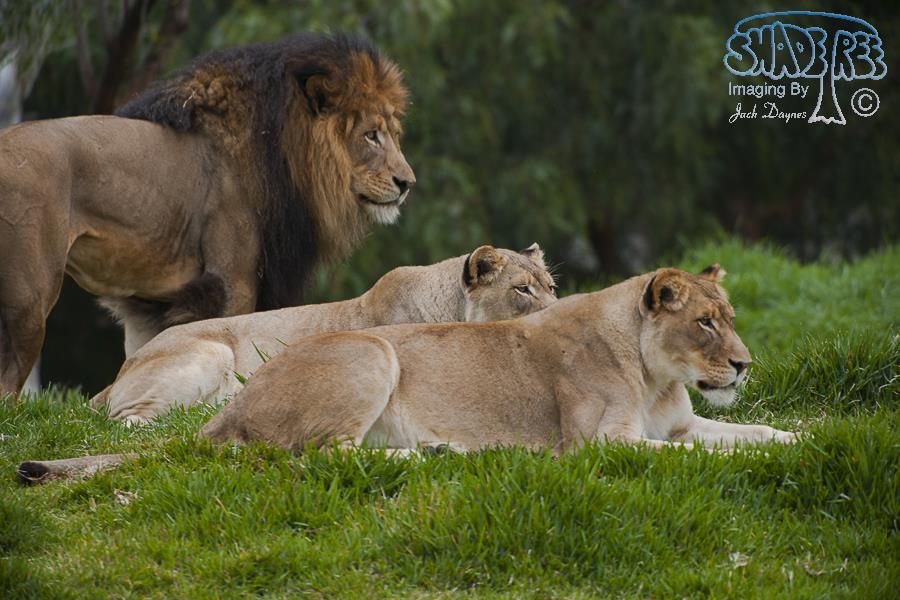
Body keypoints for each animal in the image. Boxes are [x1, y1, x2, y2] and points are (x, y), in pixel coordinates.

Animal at [0, 33, 414, 396]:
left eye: (394, 134)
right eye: (371, 135)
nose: (407, 183)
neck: (280, 152)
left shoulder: (148, 307)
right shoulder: (233, 280)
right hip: (27, 303)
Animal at [94, 244, 557, 424]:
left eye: (551, 287)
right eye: (522, 289)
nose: (558, 308)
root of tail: (119, 372)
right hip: (209, 353)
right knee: (131, 421)